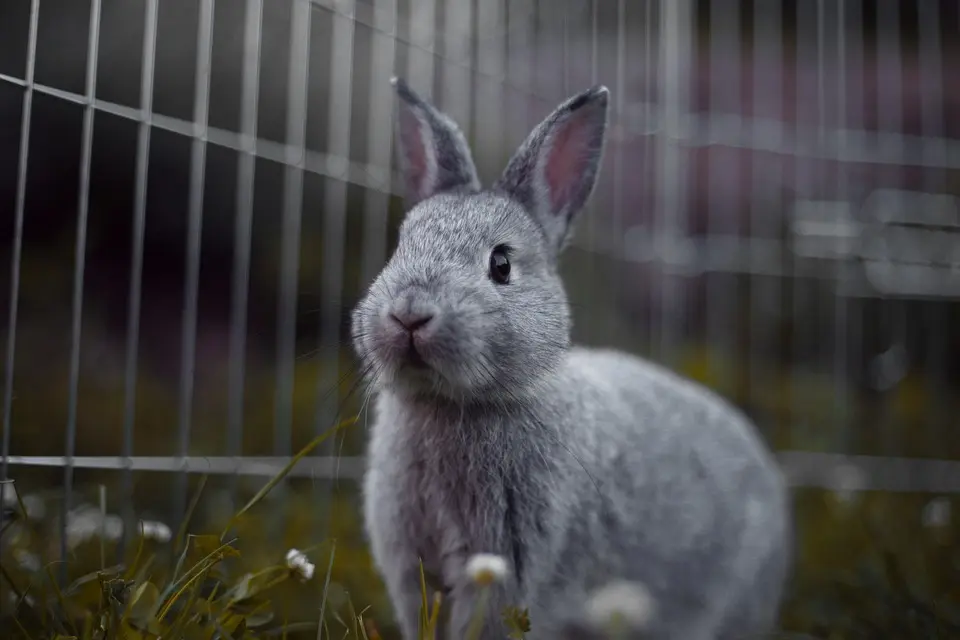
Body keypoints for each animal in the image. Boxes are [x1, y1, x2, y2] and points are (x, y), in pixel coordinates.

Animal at [348, 79, 792, 640]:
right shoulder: (412, 567)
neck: (449, 404)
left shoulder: (511, 565)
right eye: (400, 248)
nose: (409, 313)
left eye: (501, 264)